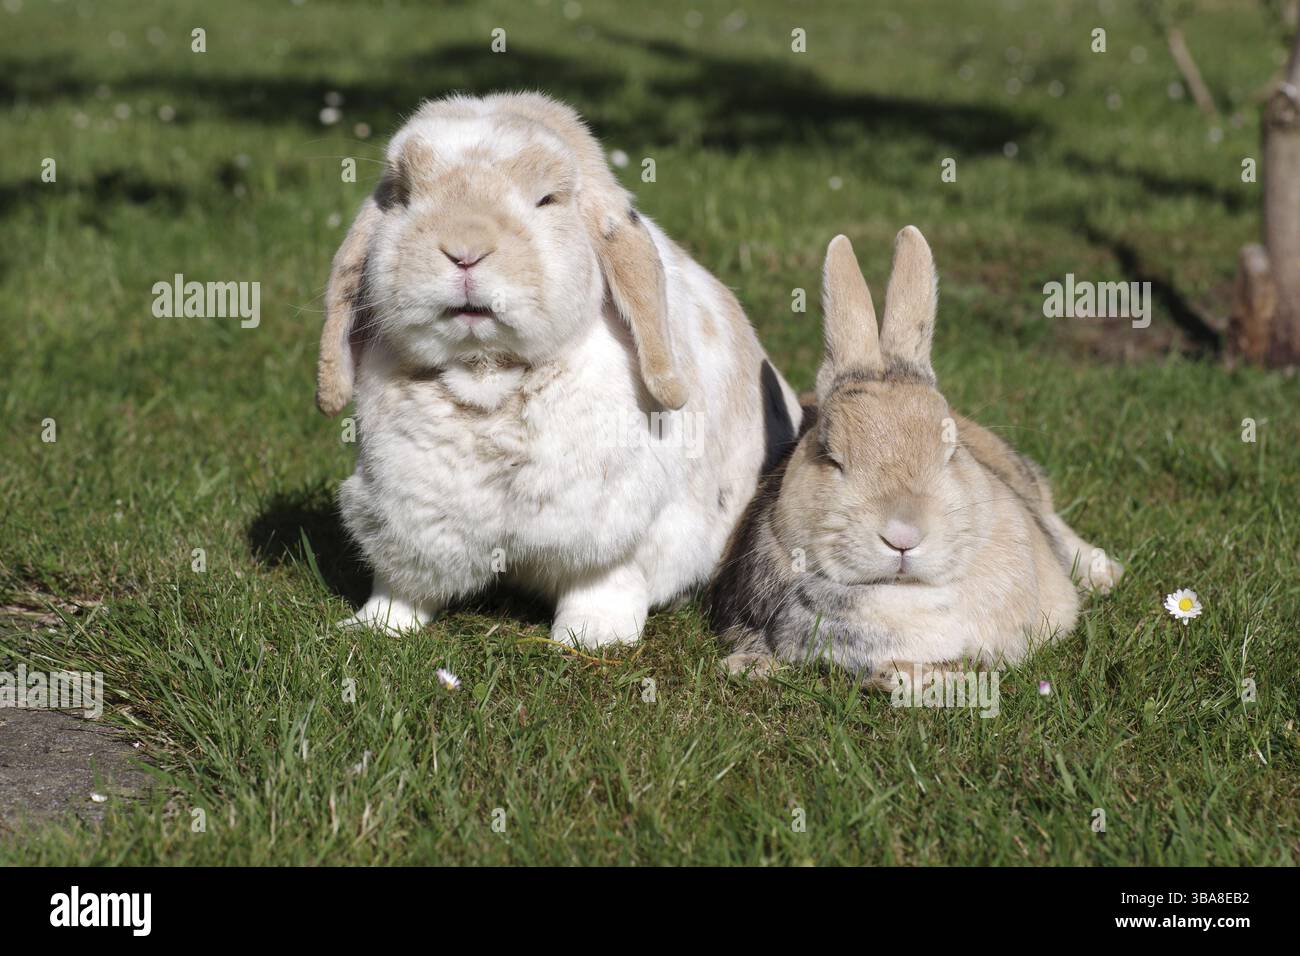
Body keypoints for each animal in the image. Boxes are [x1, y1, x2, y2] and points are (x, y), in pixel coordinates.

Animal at [315, 92, 803, 648]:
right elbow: (402, 583)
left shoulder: (618, 528)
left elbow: (603, 582)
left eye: (546, 199)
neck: (487, 377)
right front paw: (375, 626)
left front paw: (591, 636)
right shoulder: (408, 514)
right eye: (402, 196)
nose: (464, 250)